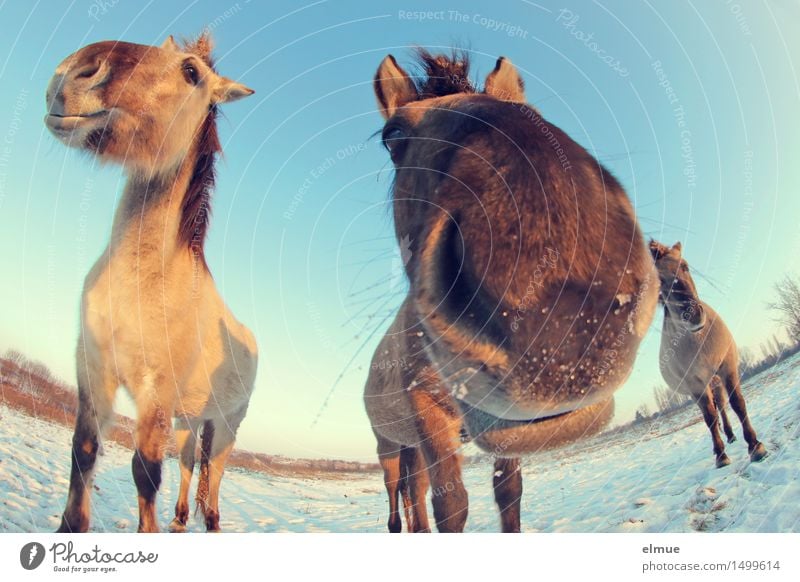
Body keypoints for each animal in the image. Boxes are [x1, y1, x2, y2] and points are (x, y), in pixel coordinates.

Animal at [45, 33, 258, 532]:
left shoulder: (154, 395)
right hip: (188, 423)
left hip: (225, 428)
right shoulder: (93, 371)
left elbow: (145, 472)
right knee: (188, 467)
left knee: (214, 484)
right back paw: (180, 519)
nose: (78, 71)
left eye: (191, 72)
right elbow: (84, 454)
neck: (142, 281)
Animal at [362, 50, 656, 532]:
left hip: (410, 447)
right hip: (388, 444)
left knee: (412, 491)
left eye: (526, 107)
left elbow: (508, 494)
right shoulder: (429, 417)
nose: (554, 308)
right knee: (398, 493)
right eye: (393, 136)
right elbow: (451, 506)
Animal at [648, 242, 768, 470]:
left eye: (685, 266)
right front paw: (721, 455)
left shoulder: (727, 367)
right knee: (712, 411)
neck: (698, 339)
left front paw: (755, 445)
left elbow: (737, 403)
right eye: (660, 280)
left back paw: (731, 435)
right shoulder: (695, 385)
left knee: (721, 404)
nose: (694, 315)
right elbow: (710, 417)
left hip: (715, 381)